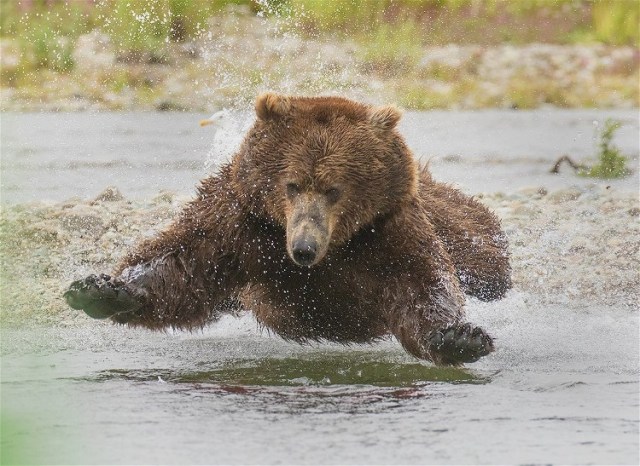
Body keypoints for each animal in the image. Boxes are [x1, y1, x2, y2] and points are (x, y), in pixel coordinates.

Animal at [64, 93, 511, 366]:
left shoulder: (387, 230)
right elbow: (182, 263)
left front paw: (459, 337)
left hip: (456, 221)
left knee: (487, 262)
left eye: (334, 188)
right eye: (292, 184)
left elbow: (422, 284)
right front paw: (100, 288)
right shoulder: (240, 223)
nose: (304, 248)